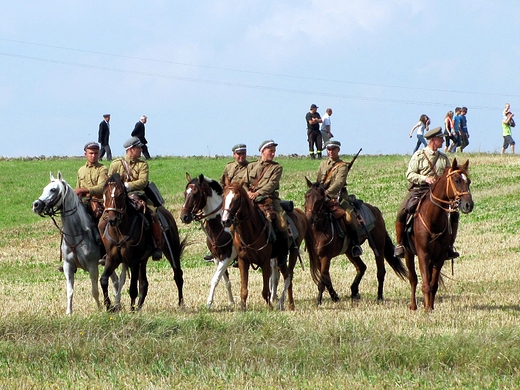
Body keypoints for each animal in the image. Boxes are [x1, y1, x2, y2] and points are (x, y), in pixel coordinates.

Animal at [32, 172, 121, 316]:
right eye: (45, 188)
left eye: (53, 189)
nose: (36, 205)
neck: (76, 234)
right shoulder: (68, 266)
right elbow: (70, 291)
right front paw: (69, 312)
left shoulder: (92, 267)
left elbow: (95, 291)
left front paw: (99, 309)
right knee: (115, 281)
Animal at [98, 174, 186, 310]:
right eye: (104, 194)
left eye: (121, 194)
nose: (112, 219)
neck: (119, 232)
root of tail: (165, 213)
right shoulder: (112, 259)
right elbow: (103, 280)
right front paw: (108, 306)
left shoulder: (134, 261)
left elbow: (133, 288)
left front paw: (131, 309)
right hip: (143, 260)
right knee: (144, 283)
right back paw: (139, 306)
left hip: (171, 251)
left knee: (178, 275)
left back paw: (181, 303)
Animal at [220, 181, 316, 310]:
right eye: (223, 197)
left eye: (236, 198)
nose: (225, 221)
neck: (251, 232)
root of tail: (298, 212)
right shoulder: (242, 261)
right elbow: (244, 289)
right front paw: (243, 308)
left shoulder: (265, 262)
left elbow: (265, 290)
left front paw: (270, 307)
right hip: (280, 257)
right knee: (286, 275)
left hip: (293, 253)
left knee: (289, 276)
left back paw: (290, 305)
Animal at [404, 158, 474, 310]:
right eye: (456, 180)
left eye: (469, 181)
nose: (468, 205)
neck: (432, 218)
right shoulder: (423, 254)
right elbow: (425, 283)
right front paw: (426, 310)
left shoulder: (440, 256)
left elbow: (433, 284)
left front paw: (430, 307)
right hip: (408, 254)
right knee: (413, 279)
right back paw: (413, 306)